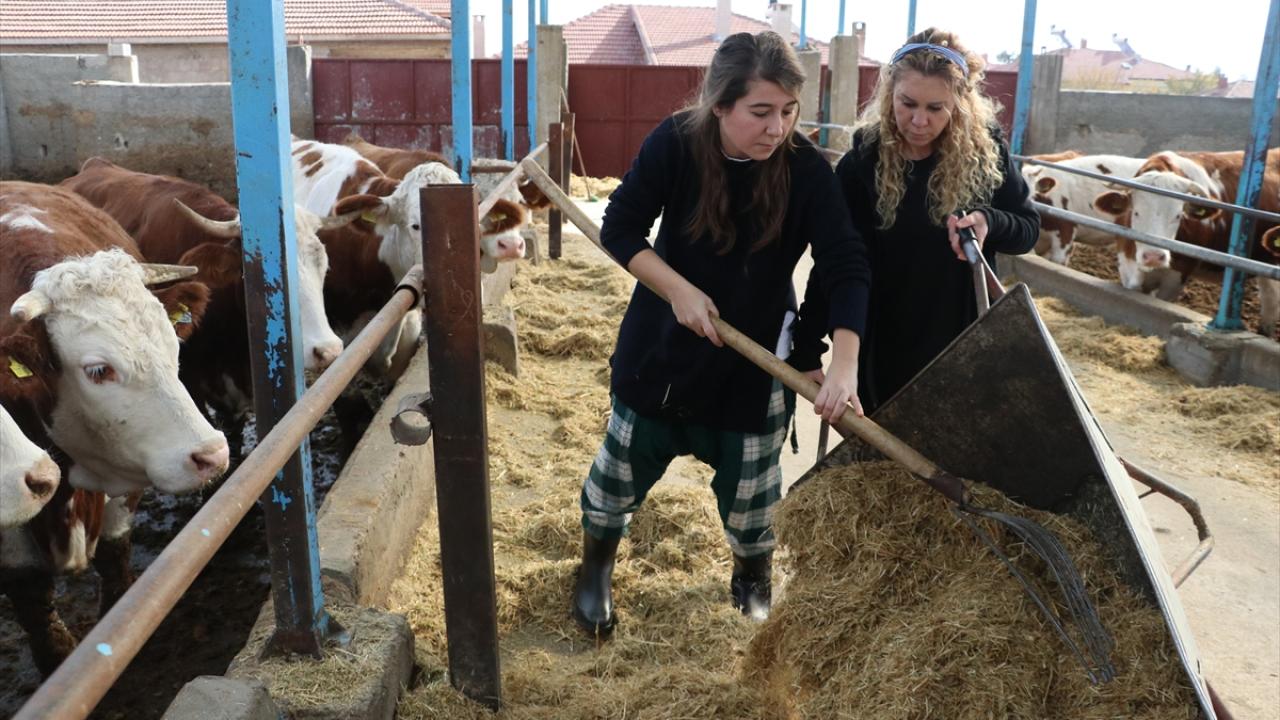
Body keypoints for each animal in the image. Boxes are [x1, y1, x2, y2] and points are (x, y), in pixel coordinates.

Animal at [0, 181, 230, 674]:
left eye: (172, 342)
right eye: (98, 370)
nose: (212, 455)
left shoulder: (126, 473)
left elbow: (115, 555)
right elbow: (30, 596)